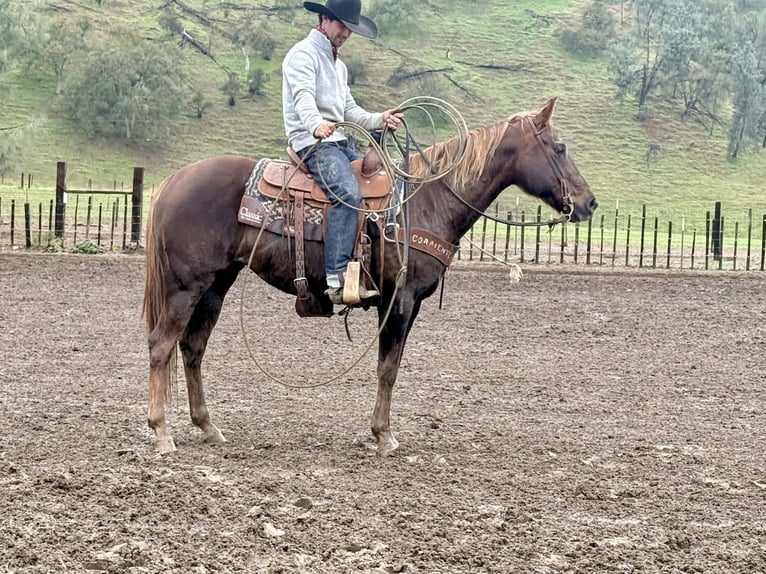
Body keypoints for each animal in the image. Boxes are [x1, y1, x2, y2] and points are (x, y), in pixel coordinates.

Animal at [142, 97, 598, 456]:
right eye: (559, 147)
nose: (589, 202)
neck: (427, 201)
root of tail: (173, 180)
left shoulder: (409, 304)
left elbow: (390, 365)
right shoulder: (400, 299)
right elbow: (388, 368)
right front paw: (383, 436)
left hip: (216, 286)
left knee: (193, 348)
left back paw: (208, 427)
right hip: (185, 287)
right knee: (162, 345)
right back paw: (162, 433)